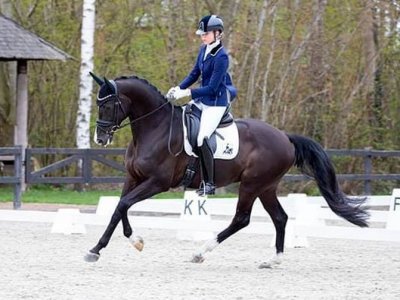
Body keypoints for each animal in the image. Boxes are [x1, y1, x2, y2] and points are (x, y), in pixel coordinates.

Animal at [84, 74, 368, 268]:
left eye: (107, 105)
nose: (100, 138)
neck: (156, 128)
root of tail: (285, 138)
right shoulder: (134, 177)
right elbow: (120, 207)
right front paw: (131, 241)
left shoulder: (157, 183)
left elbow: (124, 205)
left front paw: (97, 249)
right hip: (266, 187)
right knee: (280, 218)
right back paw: (273, 260)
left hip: (252, 185)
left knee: (242, 219)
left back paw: (200, 252)